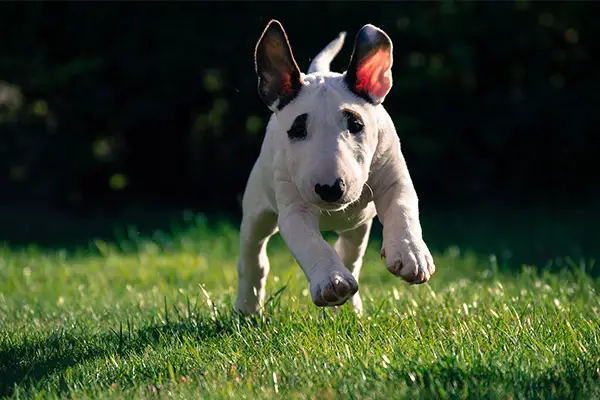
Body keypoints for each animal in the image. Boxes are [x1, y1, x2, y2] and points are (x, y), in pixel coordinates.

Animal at [234, 20, 436, 316]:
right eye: (297, 129)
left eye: (356, 124)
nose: (330, 189)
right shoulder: (294, 209)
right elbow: (312, 244)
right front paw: (332, 281)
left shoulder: (394, 177)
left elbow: (403, 208)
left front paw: (411, 254)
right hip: (256, 209)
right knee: (253, 257)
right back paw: (247, 307)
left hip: (358, 227)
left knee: (350, 253)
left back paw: (351, 308)